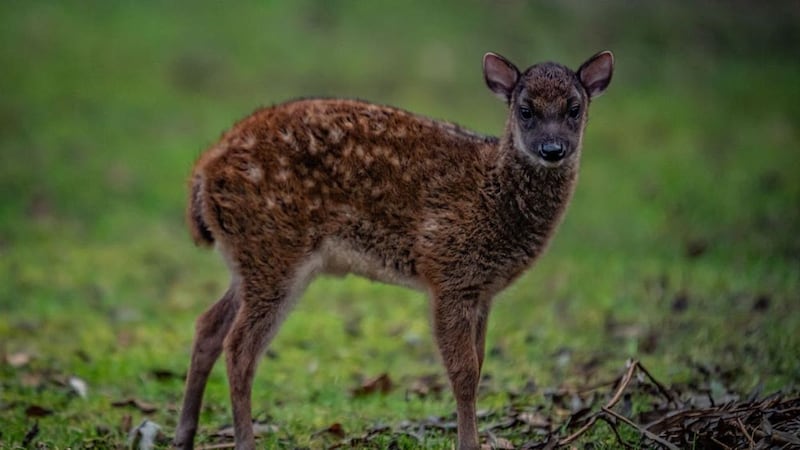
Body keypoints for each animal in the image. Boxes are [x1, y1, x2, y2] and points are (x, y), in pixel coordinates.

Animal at [175, 50, 612, 450]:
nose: (552, 149)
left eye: (574, 108)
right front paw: (469, 443)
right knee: (239, 347)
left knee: (208, 325)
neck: (492, 193)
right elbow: (464, 372)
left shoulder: (482, 288)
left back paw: (185, 435)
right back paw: (243, 440)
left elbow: (480, 360)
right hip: (273, 248)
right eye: (525, 110)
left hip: (251, 256)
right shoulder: (448, 268)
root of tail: (202, 173)